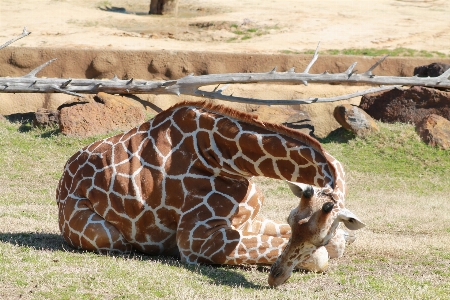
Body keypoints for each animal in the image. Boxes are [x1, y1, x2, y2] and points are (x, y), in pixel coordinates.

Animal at [57, 100, 366, 286]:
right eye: (292, 221)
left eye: (318, 235)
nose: (275, 279)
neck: (224, 158)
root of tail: (62, 184)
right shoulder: (196, 240)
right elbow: (322, 257)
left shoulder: (244, 220)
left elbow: (336, 243)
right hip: (105, 236)